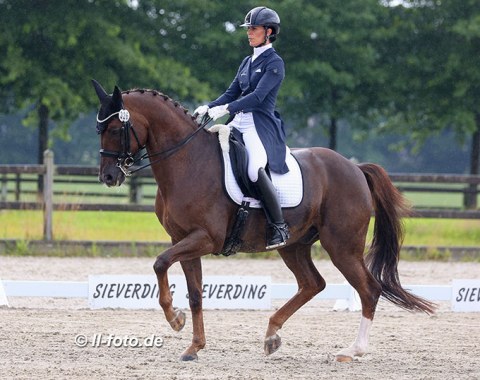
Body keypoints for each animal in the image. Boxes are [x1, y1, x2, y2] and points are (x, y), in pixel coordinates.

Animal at [92, 79, 434, 362]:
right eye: (99, 130)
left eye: (115, 129)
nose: (108, 177)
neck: (187, 162)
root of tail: (355, 168)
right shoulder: (184, 240)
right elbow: (195, 294)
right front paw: (194, 346)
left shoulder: (205, 238)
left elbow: (160, 263)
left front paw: (175, 319)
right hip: (294, 245)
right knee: (313, 284)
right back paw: (271, 336)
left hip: (342, 246)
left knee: (369, 289)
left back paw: (352, 351)